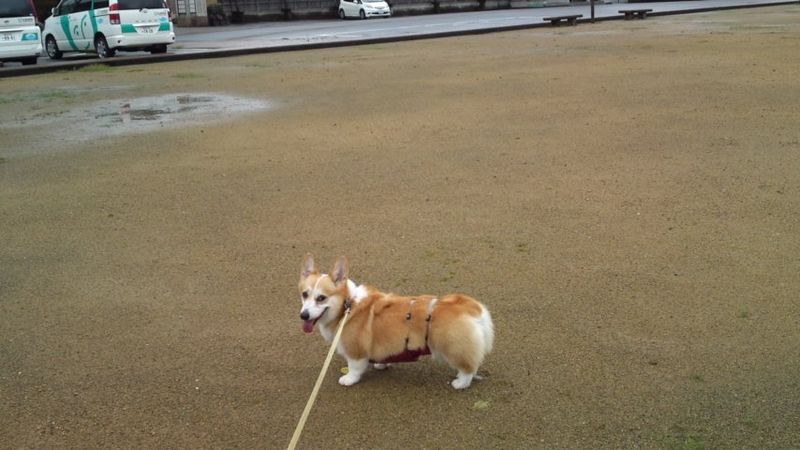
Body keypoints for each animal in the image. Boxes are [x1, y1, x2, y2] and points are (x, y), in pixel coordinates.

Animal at [298, 254, 494, 389]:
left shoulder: (355, 351)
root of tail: (469, 305)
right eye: (304, 294)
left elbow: (354, 368)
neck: (347, 305)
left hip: (453, 347)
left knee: (468, 368)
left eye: (321, 298)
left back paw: (460, 383)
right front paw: (381, 365)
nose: (303, 316)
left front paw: (348, 379)